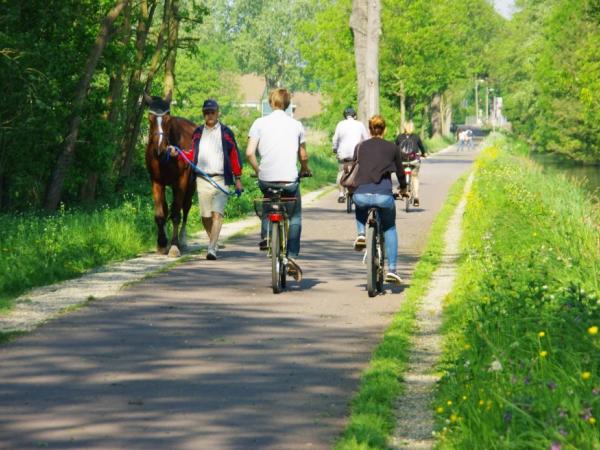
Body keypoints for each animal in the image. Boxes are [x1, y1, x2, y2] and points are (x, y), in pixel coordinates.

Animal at [144, 91, 196, 256]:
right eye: (150, 117)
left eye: (168, 118)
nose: (160, 148)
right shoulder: (156, 181)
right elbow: (161, 214)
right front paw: (162, 243)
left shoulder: (181, 182)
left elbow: (176, 213)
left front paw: (174, 245)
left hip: (190, 184)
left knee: (185, 207)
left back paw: (183, 240)